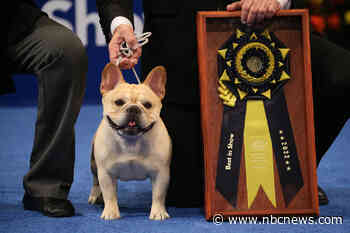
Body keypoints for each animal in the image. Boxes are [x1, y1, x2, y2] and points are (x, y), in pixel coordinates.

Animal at [87, 63, 172, 220]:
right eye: (119, 102)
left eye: (147, 105)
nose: (133, 108)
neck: (131, 141)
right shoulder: (106, 173)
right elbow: (109, 194)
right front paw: (111, 211)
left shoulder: (161, 173)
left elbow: (158, 194)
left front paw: (158, 212)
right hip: (94, 164)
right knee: (95, 180)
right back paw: (95, 196)